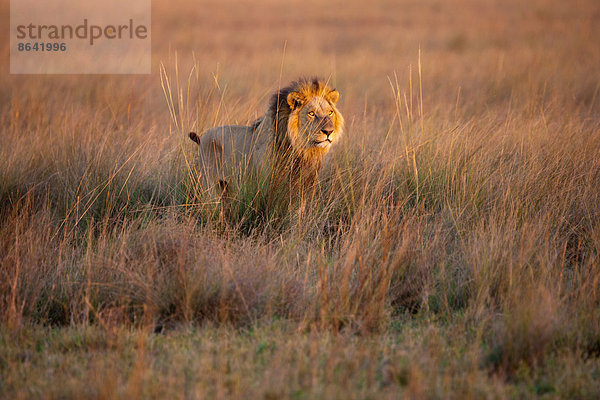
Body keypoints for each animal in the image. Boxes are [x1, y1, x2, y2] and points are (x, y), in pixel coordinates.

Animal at [190, 77, 344, 196]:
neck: (301, 150)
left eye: (330, 112)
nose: (329, 131)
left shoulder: (305, 185)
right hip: (210, 185)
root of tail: (203, 137)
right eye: (311, 113)